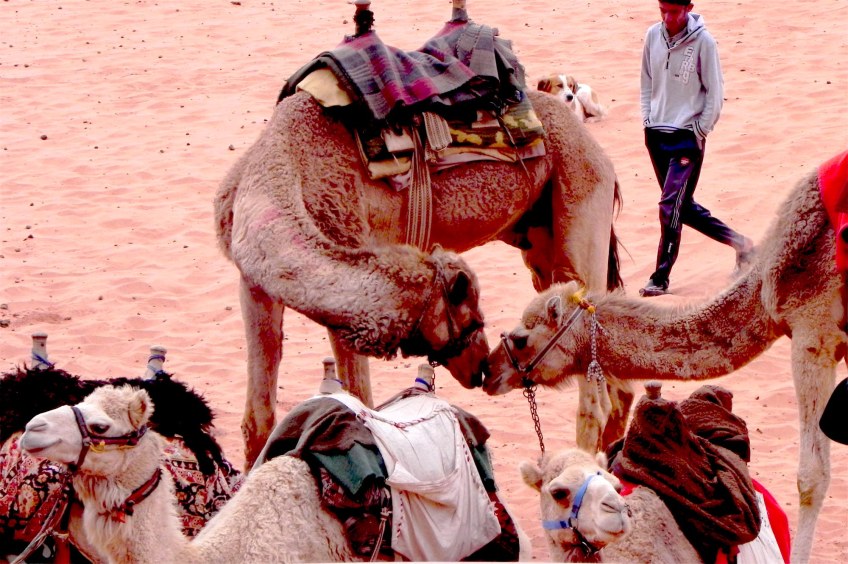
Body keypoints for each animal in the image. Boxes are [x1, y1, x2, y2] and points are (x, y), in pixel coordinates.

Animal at [214, 82, 624, 465]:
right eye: (470, 318)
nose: (481, 368)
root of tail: (594, 147)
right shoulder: (255, 285)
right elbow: (258, 421)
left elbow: (361, 401)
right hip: (539, 240)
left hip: (579, 199)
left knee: (595, 395)